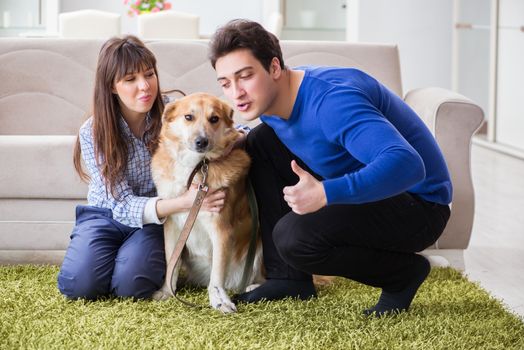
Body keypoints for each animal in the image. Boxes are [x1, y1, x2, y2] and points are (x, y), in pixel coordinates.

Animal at [152, 92, 264, 312]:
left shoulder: (221, 229)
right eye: (188, 117)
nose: (201, 142)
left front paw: (219, 300)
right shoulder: (172, 226)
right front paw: (167, 292)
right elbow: (171, 263)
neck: (197, 167)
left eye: (214, 119)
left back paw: (251, 287)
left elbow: (217, 275)